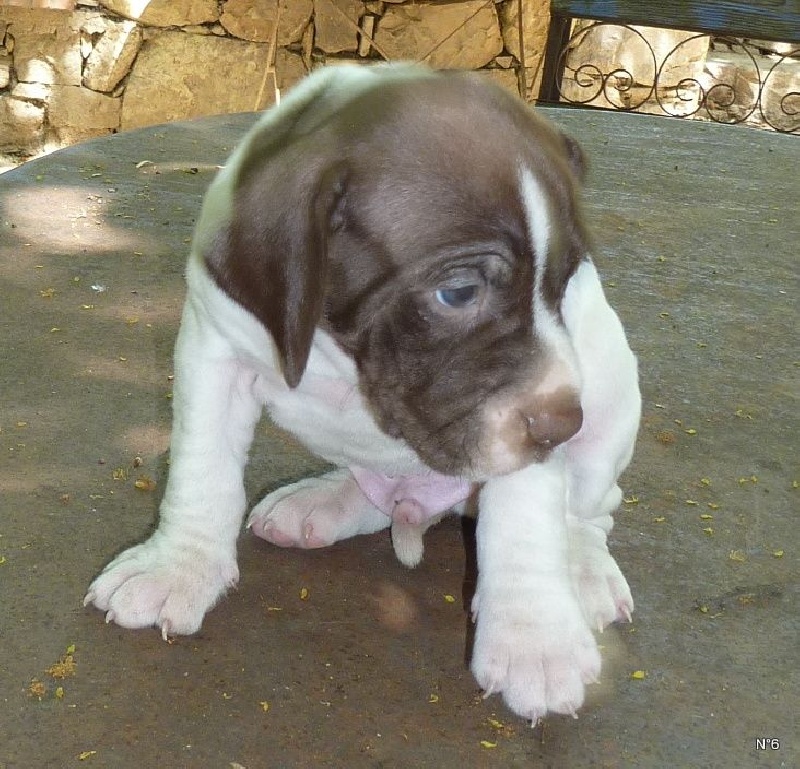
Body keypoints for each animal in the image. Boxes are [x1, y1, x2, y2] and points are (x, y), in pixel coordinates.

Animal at [85, 63, 641, 722]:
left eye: (565, 285)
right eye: (458, 292)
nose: (562, 428)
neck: (340, 348)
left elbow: (524, 518)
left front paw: (535, 640)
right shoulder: (213, 347)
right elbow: (202, 474)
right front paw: (176, 566)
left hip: (613, 403)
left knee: (589, 512)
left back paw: (584, 570)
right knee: (373, 489)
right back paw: (322, 502)